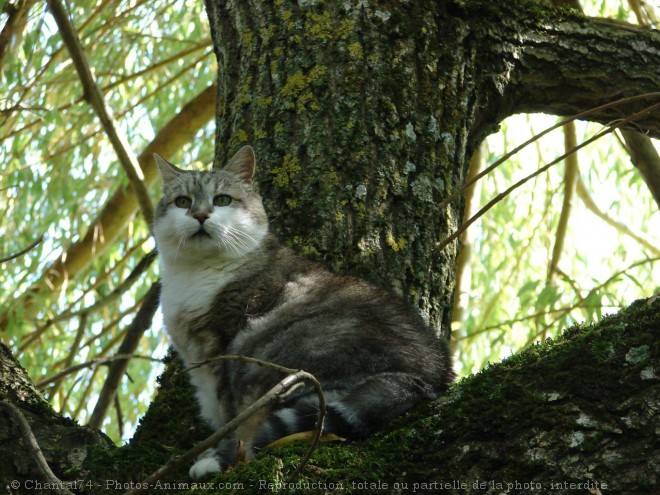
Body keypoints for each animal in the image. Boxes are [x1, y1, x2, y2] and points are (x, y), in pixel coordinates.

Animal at [153, 145, 454, 478]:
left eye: (222, 200)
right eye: (183, 202)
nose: (200, 214)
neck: (196, 273)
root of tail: (428, 375)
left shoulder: (226, 344)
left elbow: (229, 417)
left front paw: (217, 456)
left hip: (286, 355)